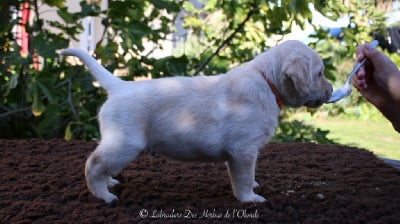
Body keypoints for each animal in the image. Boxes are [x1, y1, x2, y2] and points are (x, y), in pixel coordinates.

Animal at [61, 39, 332, 203]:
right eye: (319, 73)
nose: (330, 90)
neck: (267, 80)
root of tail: (118, 86)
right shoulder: (243, 150)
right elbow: (244, 177)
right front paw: (249, 198)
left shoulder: (240, 153)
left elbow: (247, 175)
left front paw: (253, 187)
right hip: (124, 144)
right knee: (94, 164)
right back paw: (103, 195)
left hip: (117, 144)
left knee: (103, 165)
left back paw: (109, 183)